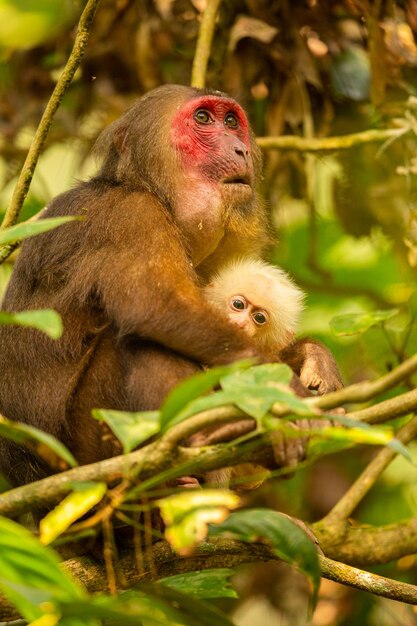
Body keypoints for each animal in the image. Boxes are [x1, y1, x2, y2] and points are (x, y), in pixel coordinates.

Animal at [0, 85, 342, 488]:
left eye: (232, 122)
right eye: (203, 119)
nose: (239, 150)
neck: (151, 190)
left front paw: (311, 357)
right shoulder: (130, 214)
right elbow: (156, 305)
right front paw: (286, 391)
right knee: (142, 335)